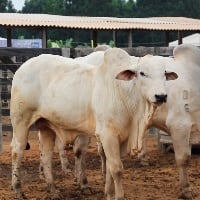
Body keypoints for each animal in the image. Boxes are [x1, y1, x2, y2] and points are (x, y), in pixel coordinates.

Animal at [10, 47, 177, 199]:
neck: (124, 93)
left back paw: (53, 190)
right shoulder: (107, 135)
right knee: (17, 151)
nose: (161, 96)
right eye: (142, 73)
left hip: (46, 126)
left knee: (46, 156)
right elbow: (117, 168)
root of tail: (23, 67)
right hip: (21, 121)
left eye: (164, 74)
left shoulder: (121, 137)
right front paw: (118, 196)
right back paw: (18, 189)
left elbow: (109, 167)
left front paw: (108, 194)